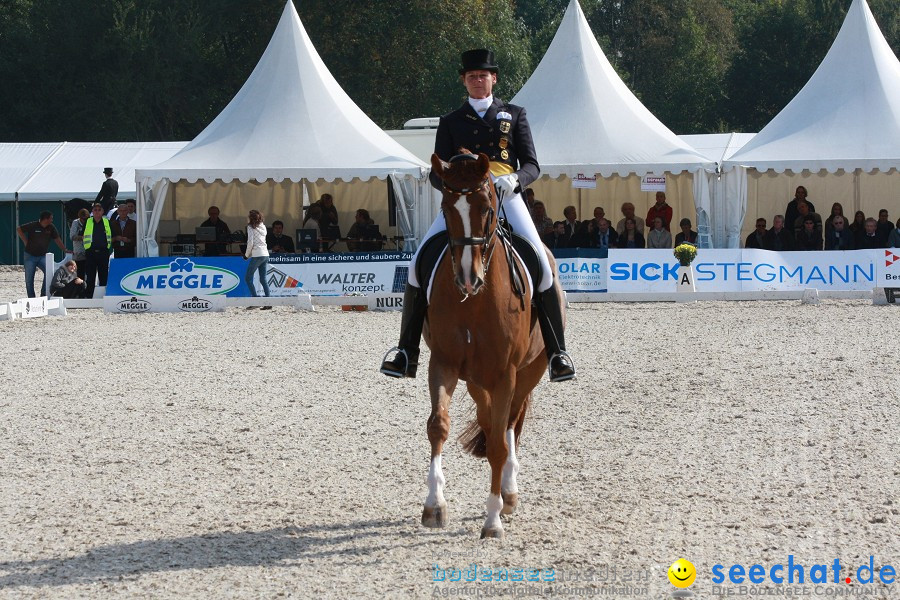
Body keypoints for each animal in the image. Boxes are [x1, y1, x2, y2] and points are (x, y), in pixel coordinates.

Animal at [420, 150, 564, 540]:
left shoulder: (506, 373)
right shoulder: (444, 363)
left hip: (530, 370)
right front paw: (434, 505)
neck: (475, 302)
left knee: (510, 424)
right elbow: (438, 426)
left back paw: (509, 494)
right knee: (489, 420)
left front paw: (493, 519)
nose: (467, 278)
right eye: (446, 207)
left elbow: (500, 443)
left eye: (486, 207)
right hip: (475, 379)